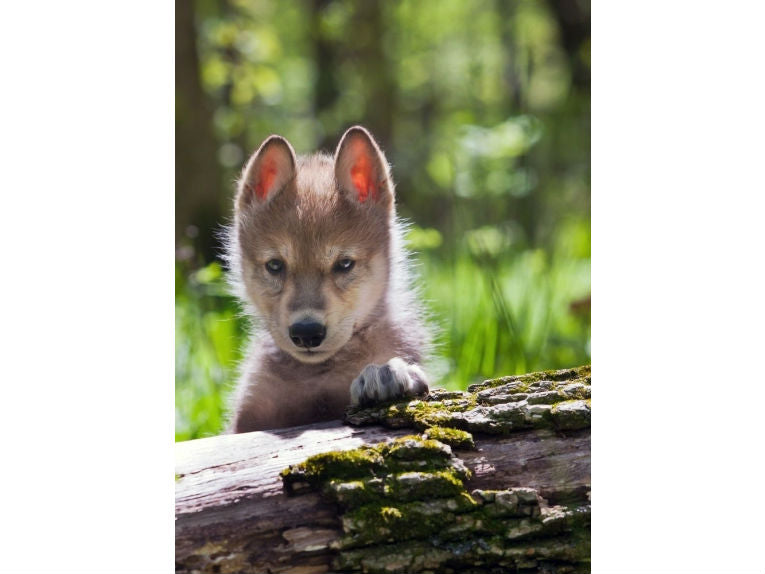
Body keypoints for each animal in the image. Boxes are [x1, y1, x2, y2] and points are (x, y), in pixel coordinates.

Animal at [225, 126, 431, 433]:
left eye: (344, 264)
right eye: (275, 265)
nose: (306, 333)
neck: (318, 376)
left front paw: (386, 374)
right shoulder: (247, 419)